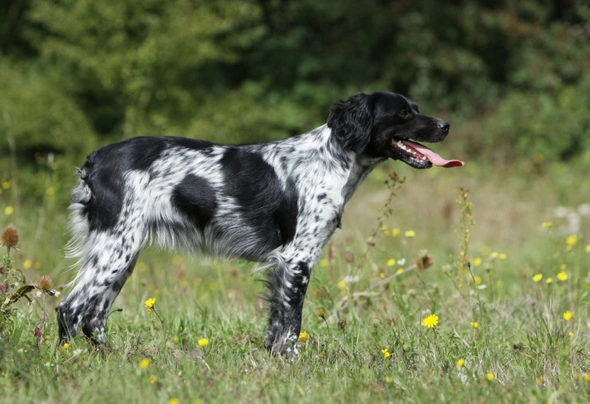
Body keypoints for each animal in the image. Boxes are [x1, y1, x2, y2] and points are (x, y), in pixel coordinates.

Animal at [55, 91, 464, 354]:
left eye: (416, 108)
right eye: (403, 114)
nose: (446, 125)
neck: (331, 160)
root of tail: (95, 160)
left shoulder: (283, 263)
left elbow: (277, 323)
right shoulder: (297, 259)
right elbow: (291, 326)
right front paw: (293, 364)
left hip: (122, 253)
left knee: (94, 316)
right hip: (116, 249)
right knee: (70, 309)